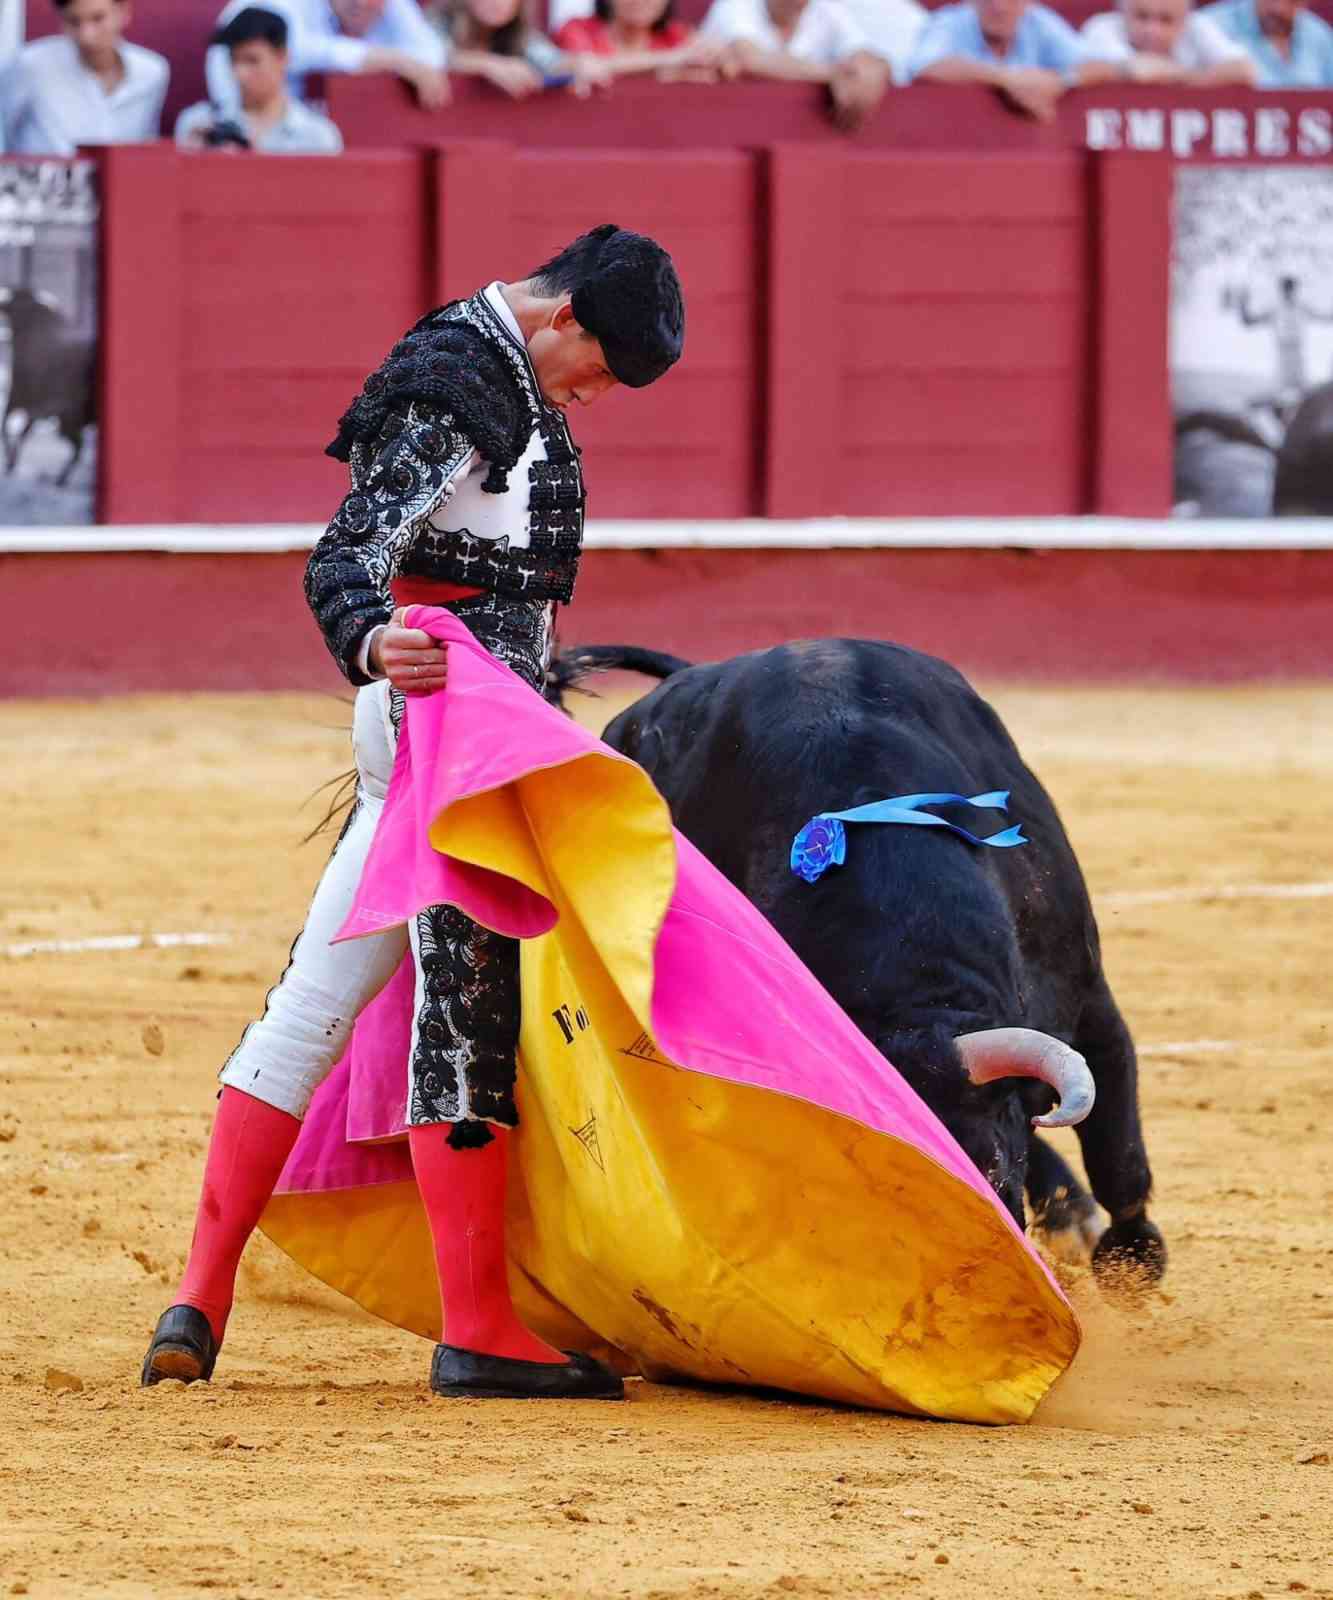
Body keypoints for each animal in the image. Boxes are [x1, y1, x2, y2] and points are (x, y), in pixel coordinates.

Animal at [0, 286, 97, 486]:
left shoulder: (18, 397)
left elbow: (7, 427)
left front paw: (10, 462)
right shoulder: (31, 406)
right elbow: (20, 431)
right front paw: (11, 462)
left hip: (68, 418)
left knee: (77, 447)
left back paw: (60, 479)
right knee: (77, 447)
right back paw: (60, 478)